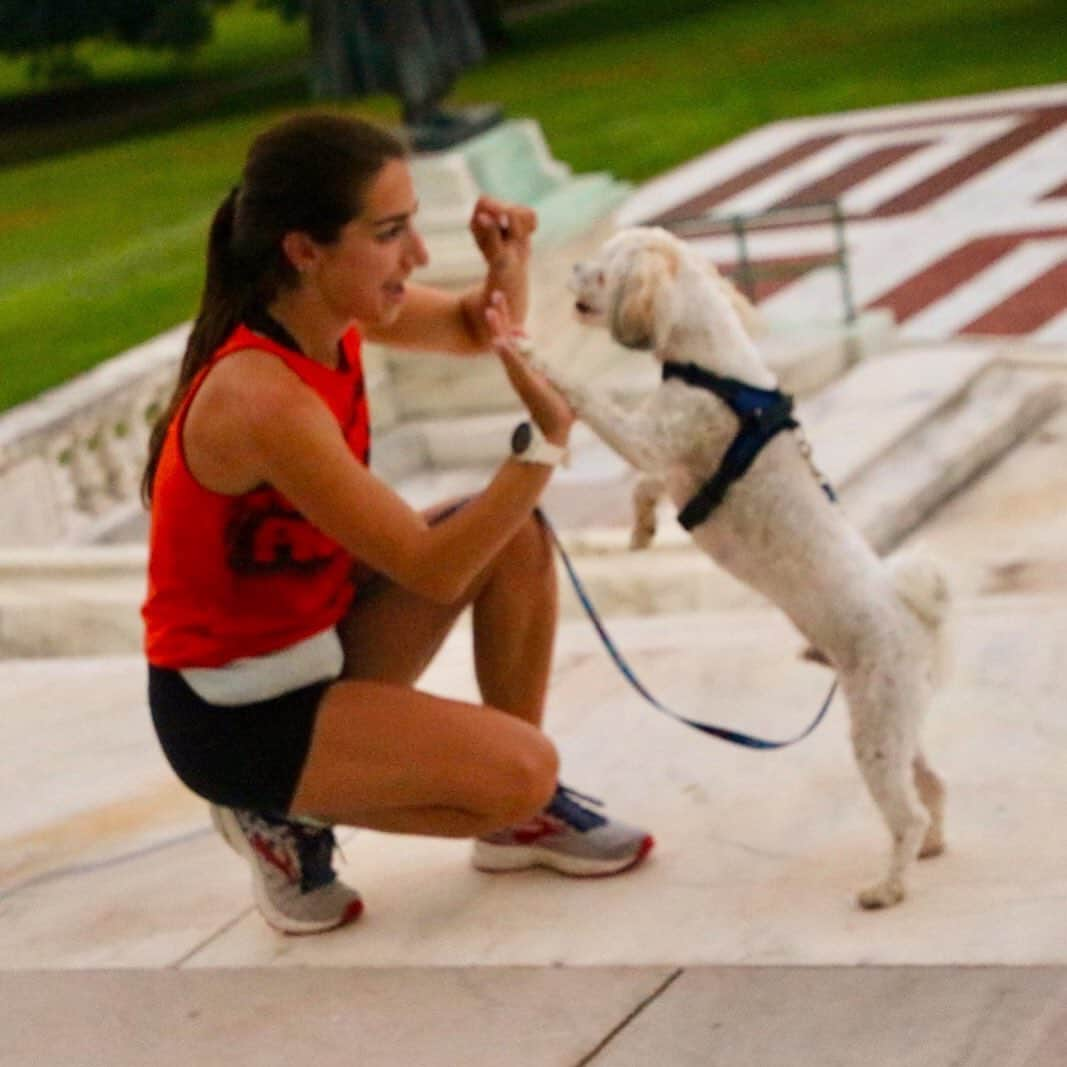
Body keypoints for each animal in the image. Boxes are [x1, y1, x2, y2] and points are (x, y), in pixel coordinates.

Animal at [529, 227, 956, 909]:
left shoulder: (657, 436)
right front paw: (641, 530)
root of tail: (918, 616)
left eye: (602, 268)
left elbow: (596, 402)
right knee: (932, 783)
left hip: (875, 722)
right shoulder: (669, 460)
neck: (711, 364)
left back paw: (888, 886)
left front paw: (534, 356)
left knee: (905, 810)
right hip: (899, 717)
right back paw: (931, 847)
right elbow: (647, 485)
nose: (571, 267)